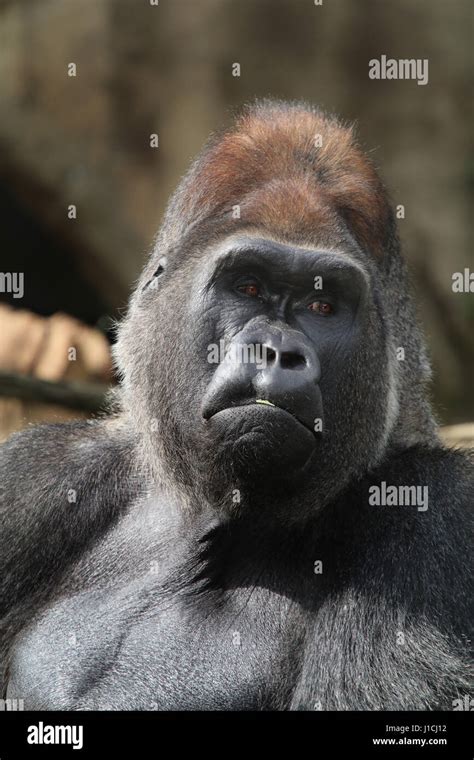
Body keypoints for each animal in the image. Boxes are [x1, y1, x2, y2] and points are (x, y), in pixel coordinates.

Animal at [0, 101, 474, 712]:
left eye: (323, 304)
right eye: (247, 286)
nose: (278, 352)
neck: (206, 504)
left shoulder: (435, 510)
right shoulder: (35, 473)